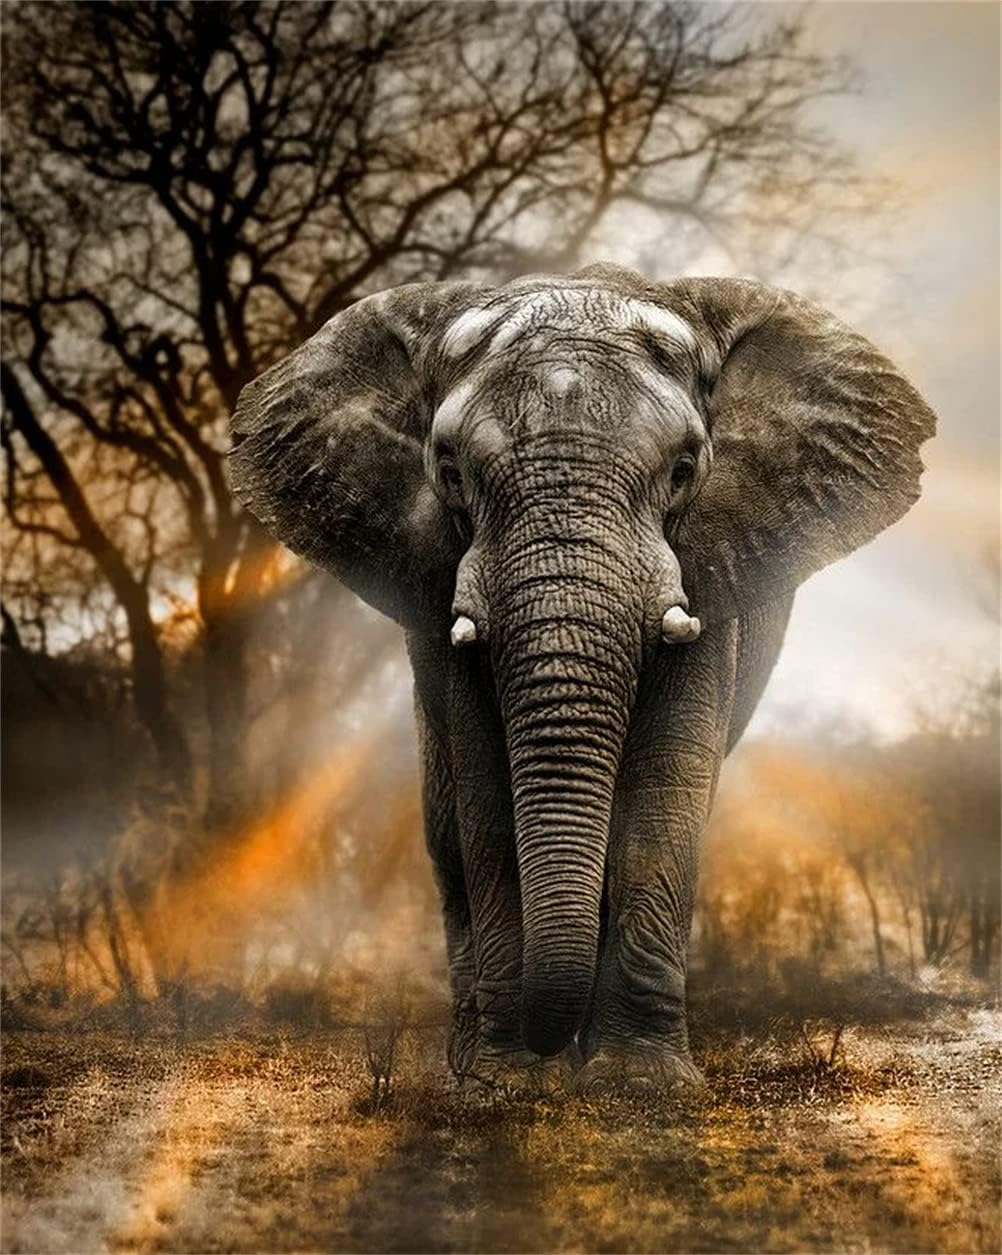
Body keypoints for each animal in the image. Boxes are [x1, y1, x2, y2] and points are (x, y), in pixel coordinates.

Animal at [228, 263, 935, 1096]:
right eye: (450, 471)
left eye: (684, 470)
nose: (543, 1048)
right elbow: (487, 794)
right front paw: (508, 1082)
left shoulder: (708, 569)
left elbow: (665, 788)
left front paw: (639, 1082)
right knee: (444, 828)